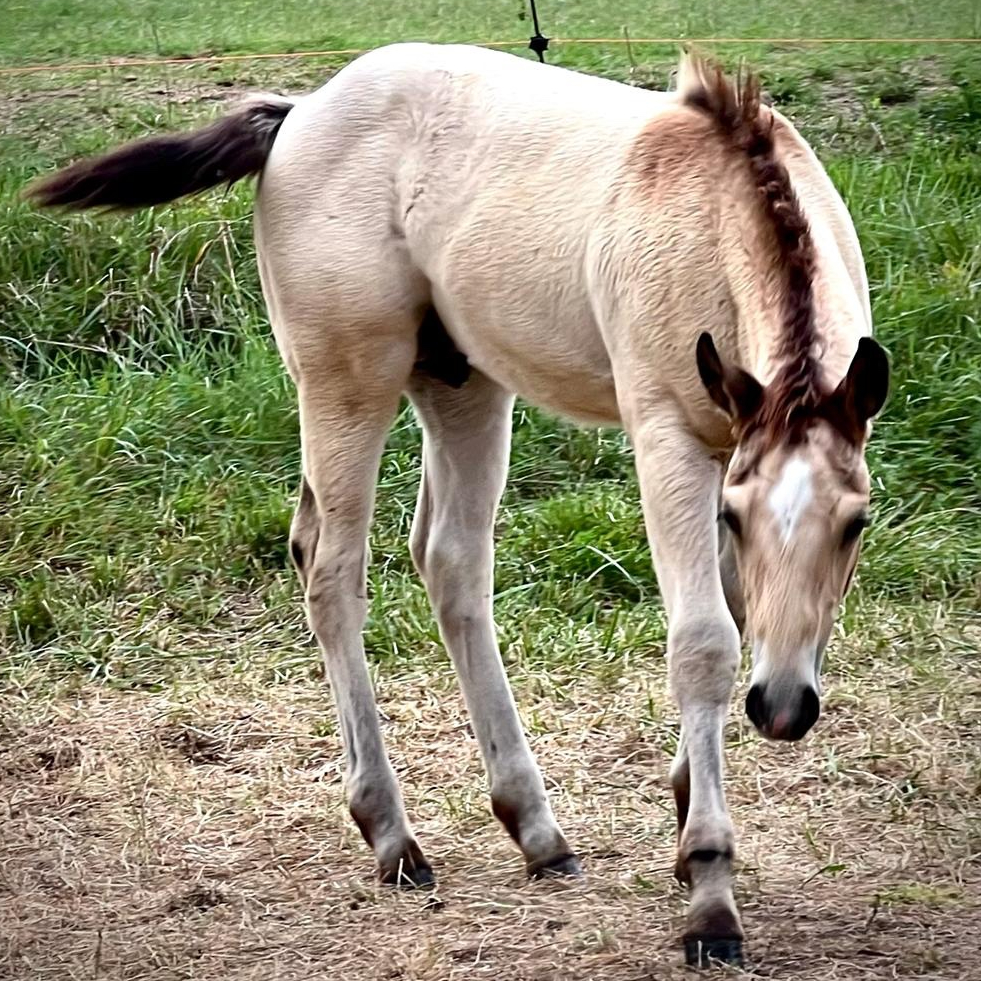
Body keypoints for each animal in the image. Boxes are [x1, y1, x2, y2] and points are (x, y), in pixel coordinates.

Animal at [26, 44, 889, 967]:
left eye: (855, 524)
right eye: (733, 519)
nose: (783, 707)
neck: (717, 203)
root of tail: (298, 110)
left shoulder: (731, 445)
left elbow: (735, 611)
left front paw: (688, 801)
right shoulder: (666, 436)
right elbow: (703, 642)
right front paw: (709, 893)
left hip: (460, 381)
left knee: (446, 562)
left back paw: (535, 828)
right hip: (346, 381)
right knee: (333, 570)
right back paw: (393, 836)